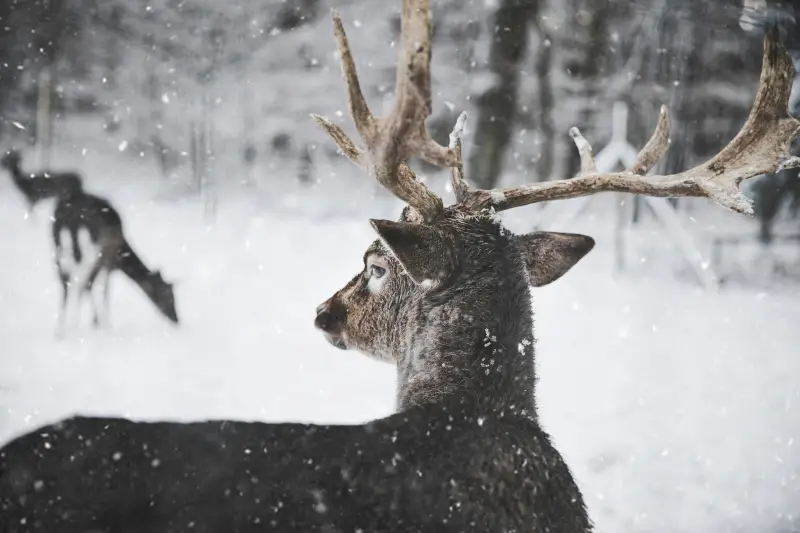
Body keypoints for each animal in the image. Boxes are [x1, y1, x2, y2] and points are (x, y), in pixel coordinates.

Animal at [52, 188, 179, 337]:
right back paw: (74, 327)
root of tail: (71, 218)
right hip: (92, 251)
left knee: (66, 284)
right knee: (81, 283)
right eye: (168, 296)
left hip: (60, 250)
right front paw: (99, 325)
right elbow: (102, 290)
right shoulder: (107, 261)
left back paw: (61, 332)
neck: (121, 255)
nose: (177, 320)